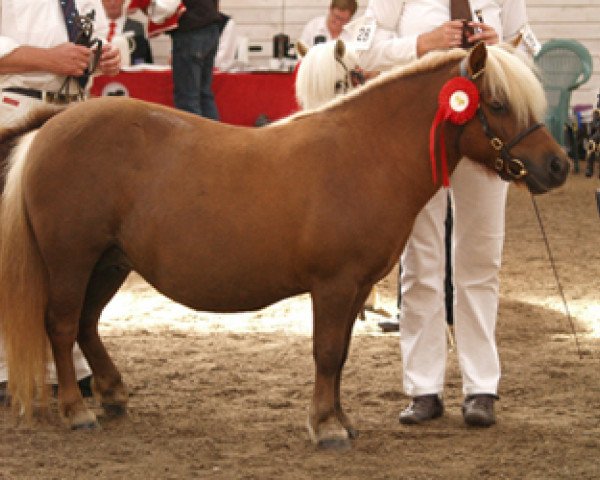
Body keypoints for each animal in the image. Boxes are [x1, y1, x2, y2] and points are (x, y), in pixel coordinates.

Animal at [0, 43, 568, 448]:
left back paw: (114, 393)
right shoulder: (334, 285)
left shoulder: (357, 288)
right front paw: (326, 426)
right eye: (498, 104)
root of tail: (53, 125)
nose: (558, 165)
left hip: (109, 263)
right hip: (71, 260)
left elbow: (340, 355)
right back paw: (77, 411)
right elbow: (326, 352)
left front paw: (339, 419)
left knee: (86, 324)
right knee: (61, 326)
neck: (366, 153)